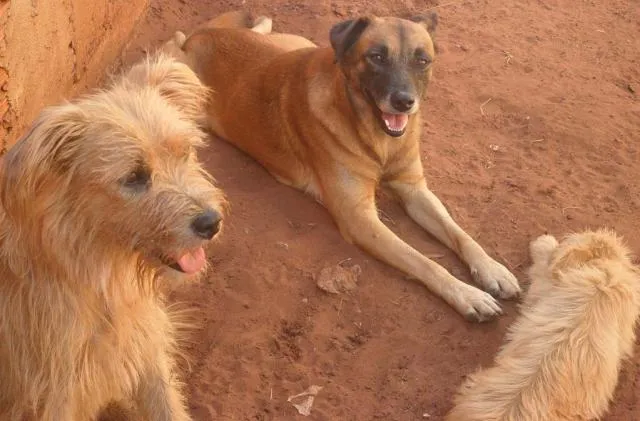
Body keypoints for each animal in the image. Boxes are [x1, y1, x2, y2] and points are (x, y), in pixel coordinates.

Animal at [165, 9, 520, 320]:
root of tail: (201, 36)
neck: (377, 138)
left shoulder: (414, 190)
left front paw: (492, 269)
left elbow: (460, 233)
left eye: (422, 59)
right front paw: (467, 294)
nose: (404, 101)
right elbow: (424, 261)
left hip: (296, 44)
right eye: (376, 56)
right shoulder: (359, 218)